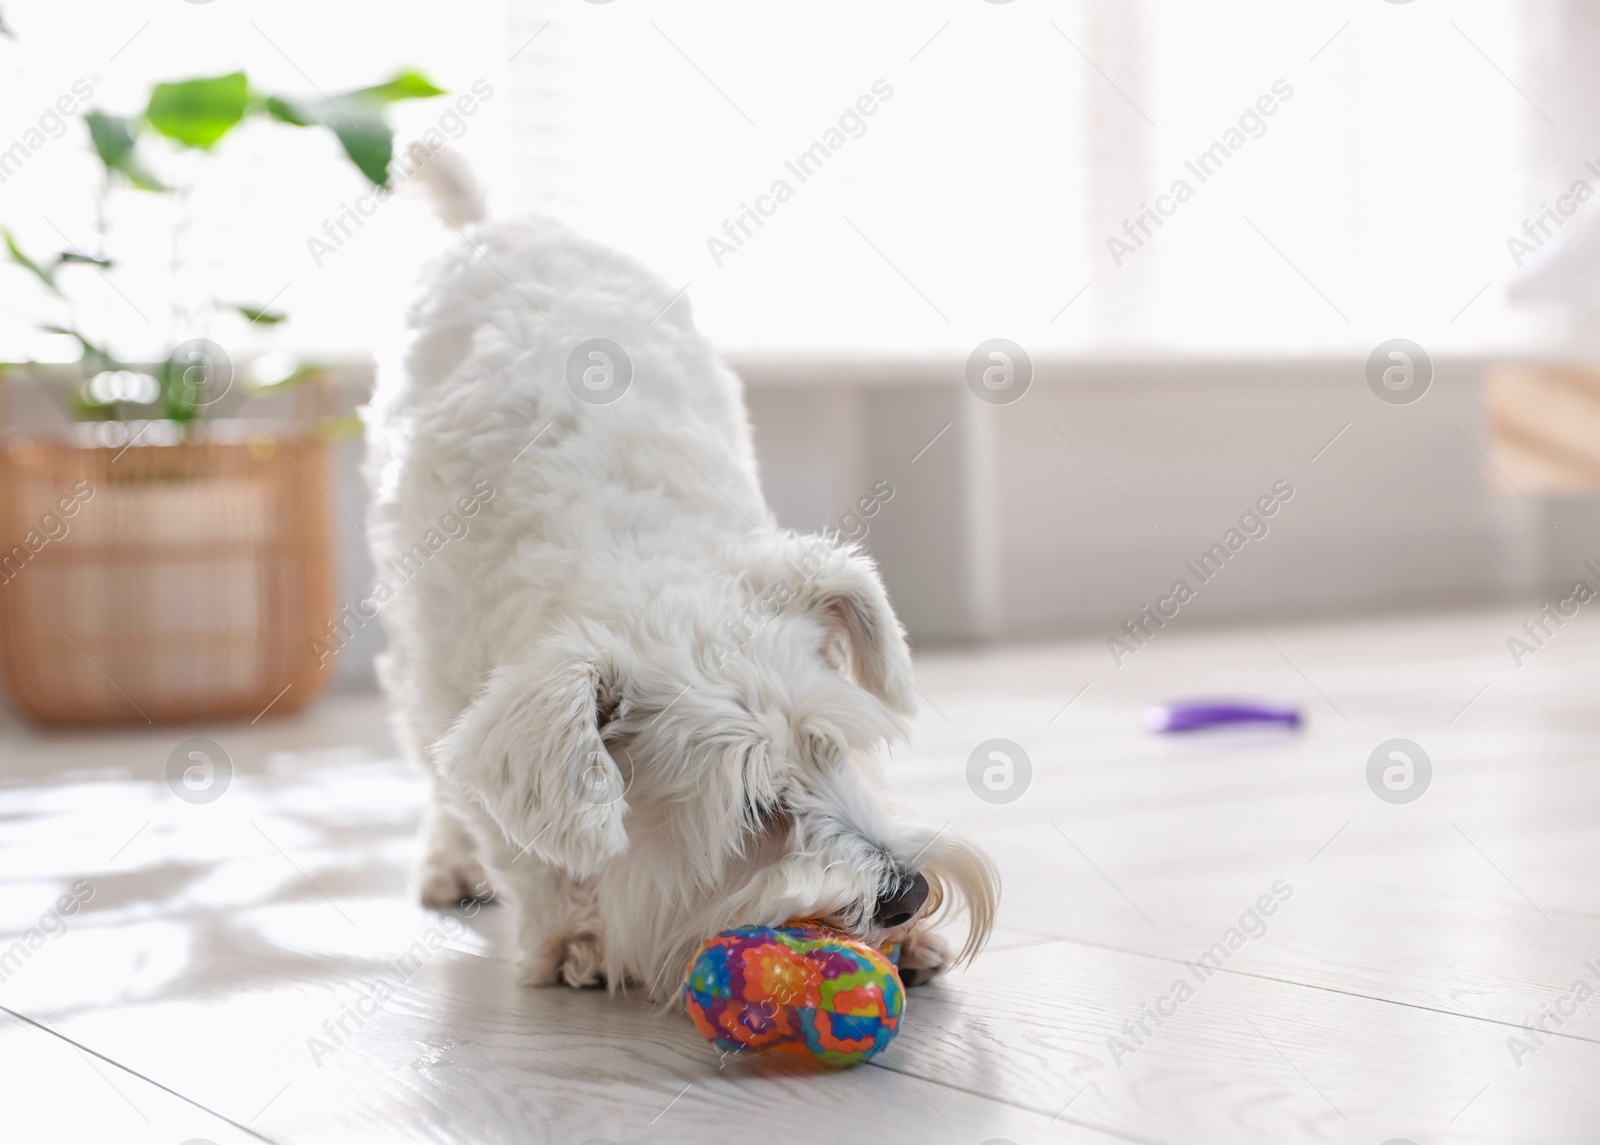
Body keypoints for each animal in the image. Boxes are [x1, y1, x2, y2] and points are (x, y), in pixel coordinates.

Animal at [366, 174, 998, 997]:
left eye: (834, 750)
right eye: (754, 808)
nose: (908, 893)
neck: (636, 560)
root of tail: (489, 227)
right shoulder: (464, 691)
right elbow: (525, 842)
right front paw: (578, 935)